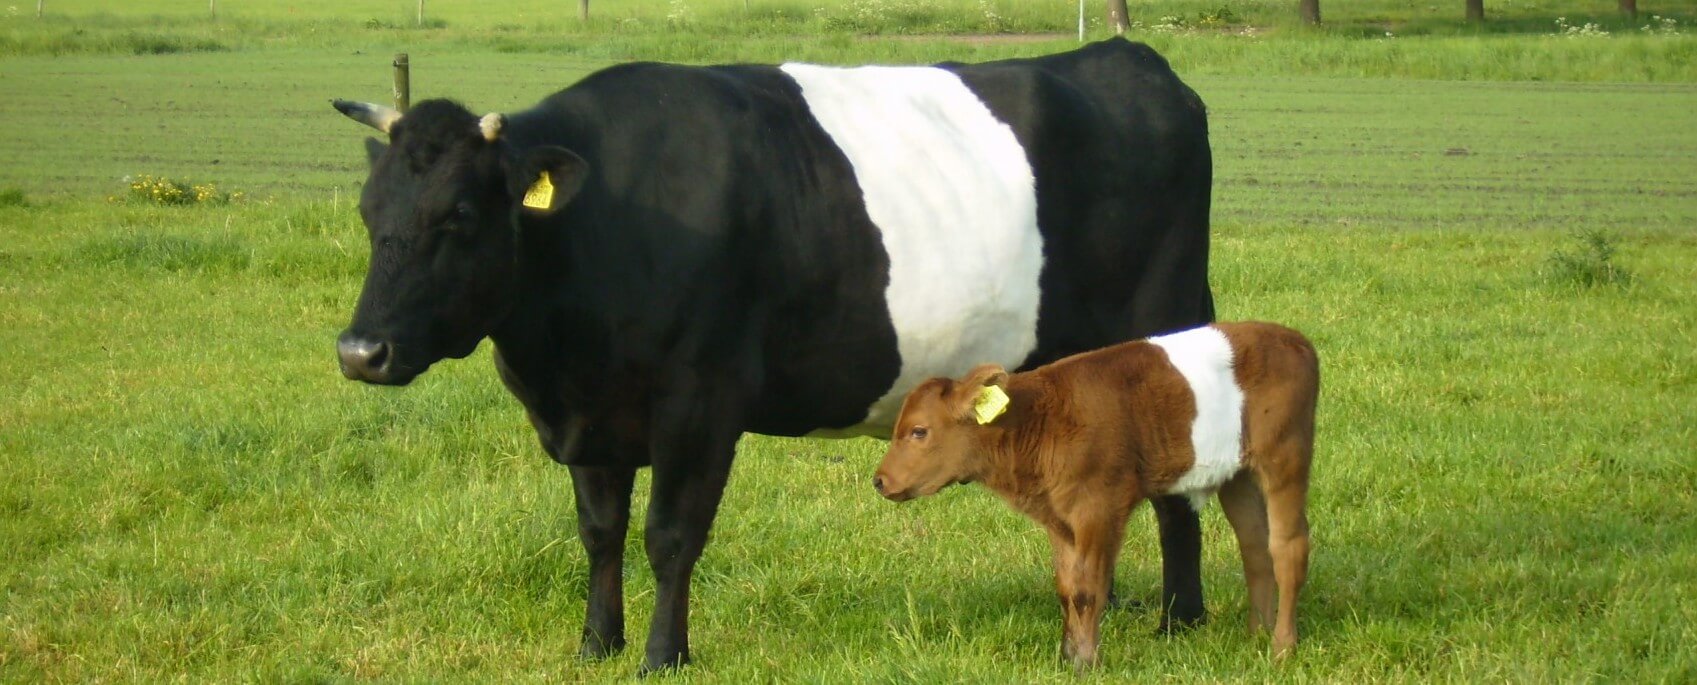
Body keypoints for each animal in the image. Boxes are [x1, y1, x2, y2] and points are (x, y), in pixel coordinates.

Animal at [329, 37, 1215, 673]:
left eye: (459, 214)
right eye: (370, 211)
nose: (359, 349)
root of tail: (1130, 58)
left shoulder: (699, 400)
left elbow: (669, 534)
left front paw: (662, 656)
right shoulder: (594, 409)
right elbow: (600, 530)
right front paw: (595, 644)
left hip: (1167, 318)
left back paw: (1182, 620)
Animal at [873, 322, 1320, 666]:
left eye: (919, 431)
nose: (879, 480)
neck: (1038, 420)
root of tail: (1295, 338)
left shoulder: (1100, 506)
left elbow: (1090, 588)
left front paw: (1088, 662)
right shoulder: (1058, 516)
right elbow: (1067, 587)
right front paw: (1066, 658)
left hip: (1285, 457)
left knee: (1288, 548)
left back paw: (1282, 648)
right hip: (1239, 477)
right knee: (1256, 549)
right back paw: (1256, 636)